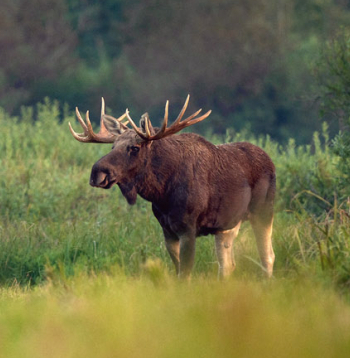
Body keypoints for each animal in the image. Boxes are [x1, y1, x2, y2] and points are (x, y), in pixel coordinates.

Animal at [69, 96, 276, 278]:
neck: (161, 193)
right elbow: (177, 271)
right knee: (227, 266)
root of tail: (270, 161)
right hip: (227, 226)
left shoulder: (188, 228)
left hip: (263, 212)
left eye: (135, 147)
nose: (97, 173)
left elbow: (185, 274)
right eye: (113, 146)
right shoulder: (167, 230)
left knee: (268, 257)